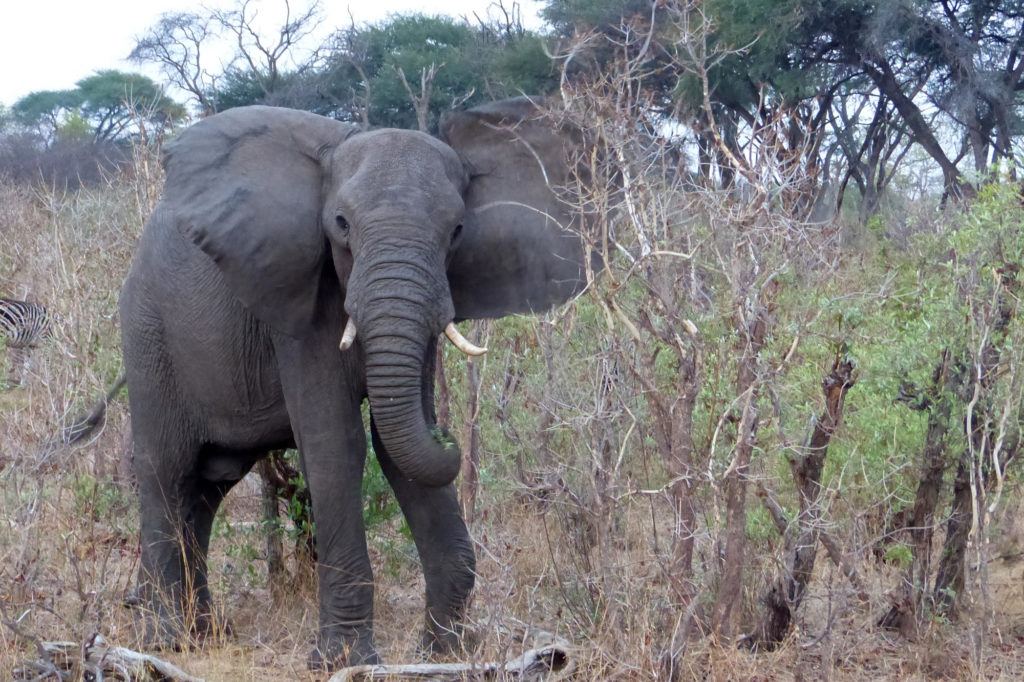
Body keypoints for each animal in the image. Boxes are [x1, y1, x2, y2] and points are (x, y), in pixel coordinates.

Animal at [118, 96, 592, 669]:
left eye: (457, 230)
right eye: (341, 224)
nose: (451, 438)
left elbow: (395, 445)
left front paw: (441, 652)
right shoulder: (300, 304)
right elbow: (335, 444)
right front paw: (344, 661)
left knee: (207, 487)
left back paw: (204, 633)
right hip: (148, 334)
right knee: (165, 471)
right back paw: (168, 641)